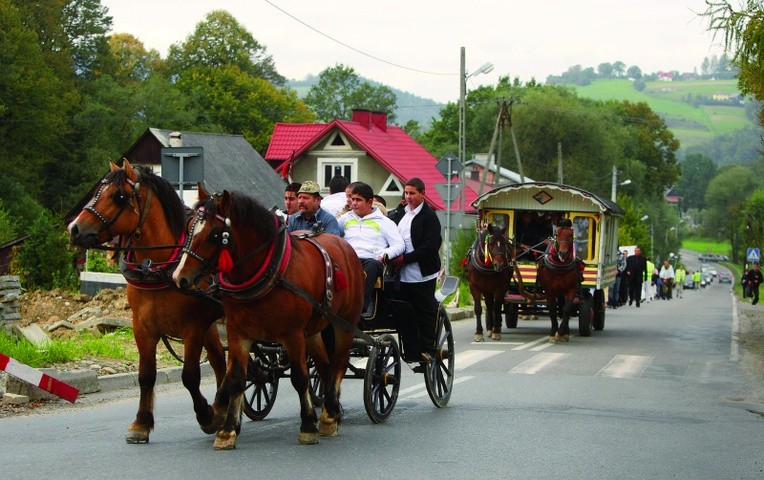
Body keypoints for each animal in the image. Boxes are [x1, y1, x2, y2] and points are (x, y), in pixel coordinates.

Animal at [68, 160, 227, 442]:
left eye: (119, 196)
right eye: (98, 191)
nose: (74, 229)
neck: (158, 266)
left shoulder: (193, 329)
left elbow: (190, 376)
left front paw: (206, 416)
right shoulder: (142, 328)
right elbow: (146, 376)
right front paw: (141, 423)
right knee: (221, 361)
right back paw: (224, 407)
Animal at [173, 185, 364, 450]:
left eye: (214, 234)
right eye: (190, 227)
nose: (179, 277)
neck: (269, 272)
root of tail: (344, 246)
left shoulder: (293, 335)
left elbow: (300, 378)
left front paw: (307, 426)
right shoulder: (238, 333)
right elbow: (237, 378)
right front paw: (227, 431)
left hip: (344, 324)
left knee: (338, 364)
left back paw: (329, 415)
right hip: (314, 330)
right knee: (324, 367)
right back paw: (329, 412)